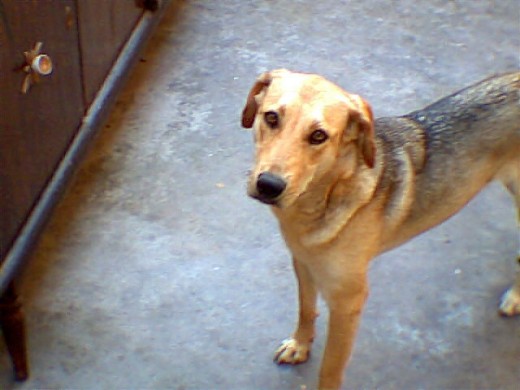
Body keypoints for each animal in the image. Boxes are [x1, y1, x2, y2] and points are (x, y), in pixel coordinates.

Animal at [242, 68, 520, 388]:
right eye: (271, 117)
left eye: (318, 136)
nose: (268, 186)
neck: (328, 193)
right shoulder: (303, 263)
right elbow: (306, 309)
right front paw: (300, 345)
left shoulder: (348, 301)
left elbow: (330, 368)